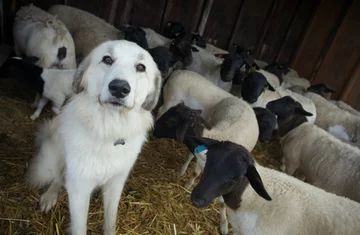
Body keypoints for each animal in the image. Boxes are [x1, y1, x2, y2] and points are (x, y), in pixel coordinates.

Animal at [27, 39, 162, 234]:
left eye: (140, 67)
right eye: (107, 59)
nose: (119, 88)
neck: (109, 130)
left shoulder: (116, 183)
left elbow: (110, 220)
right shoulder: (79, 190)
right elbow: (80, 227)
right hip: (55, 155)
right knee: (57, 178)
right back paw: (49, 196)